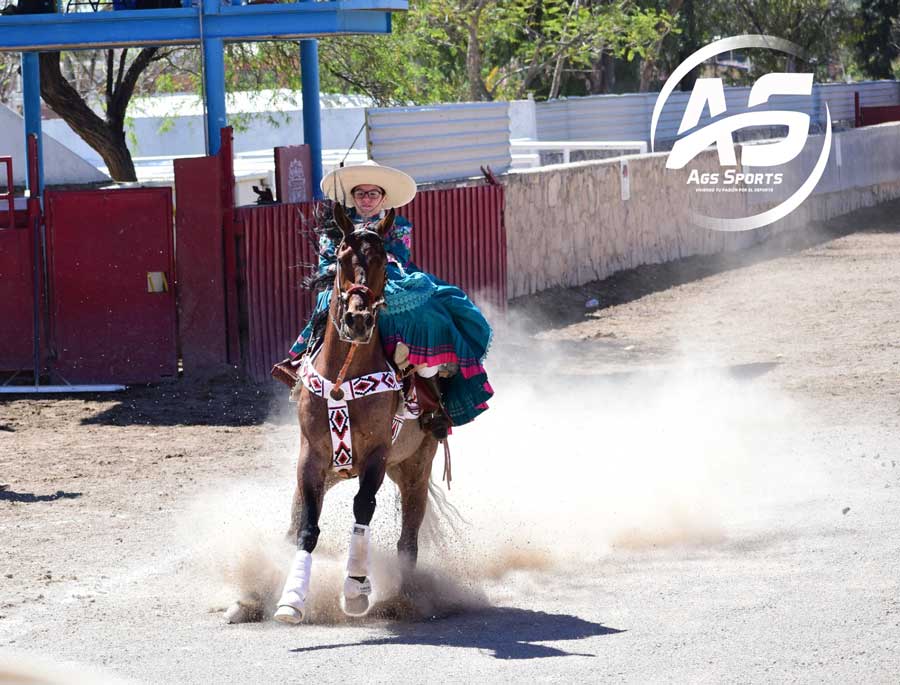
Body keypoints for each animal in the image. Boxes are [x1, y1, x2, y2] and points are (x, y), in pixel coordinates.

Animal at [266, 202, 438, 620]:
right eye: (342, 259)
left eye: (384, 263)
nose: (357, 320)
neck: (343, 376)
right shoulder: (311, 457)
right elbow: (307, 526)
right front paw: (292, 598)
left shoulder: (376, 455)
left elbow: (363, 509)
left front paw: (355, 589)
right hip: (336, 471)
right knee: (295, 522)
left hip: (415, 469)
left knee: (408, 539)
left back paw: (403, 601)